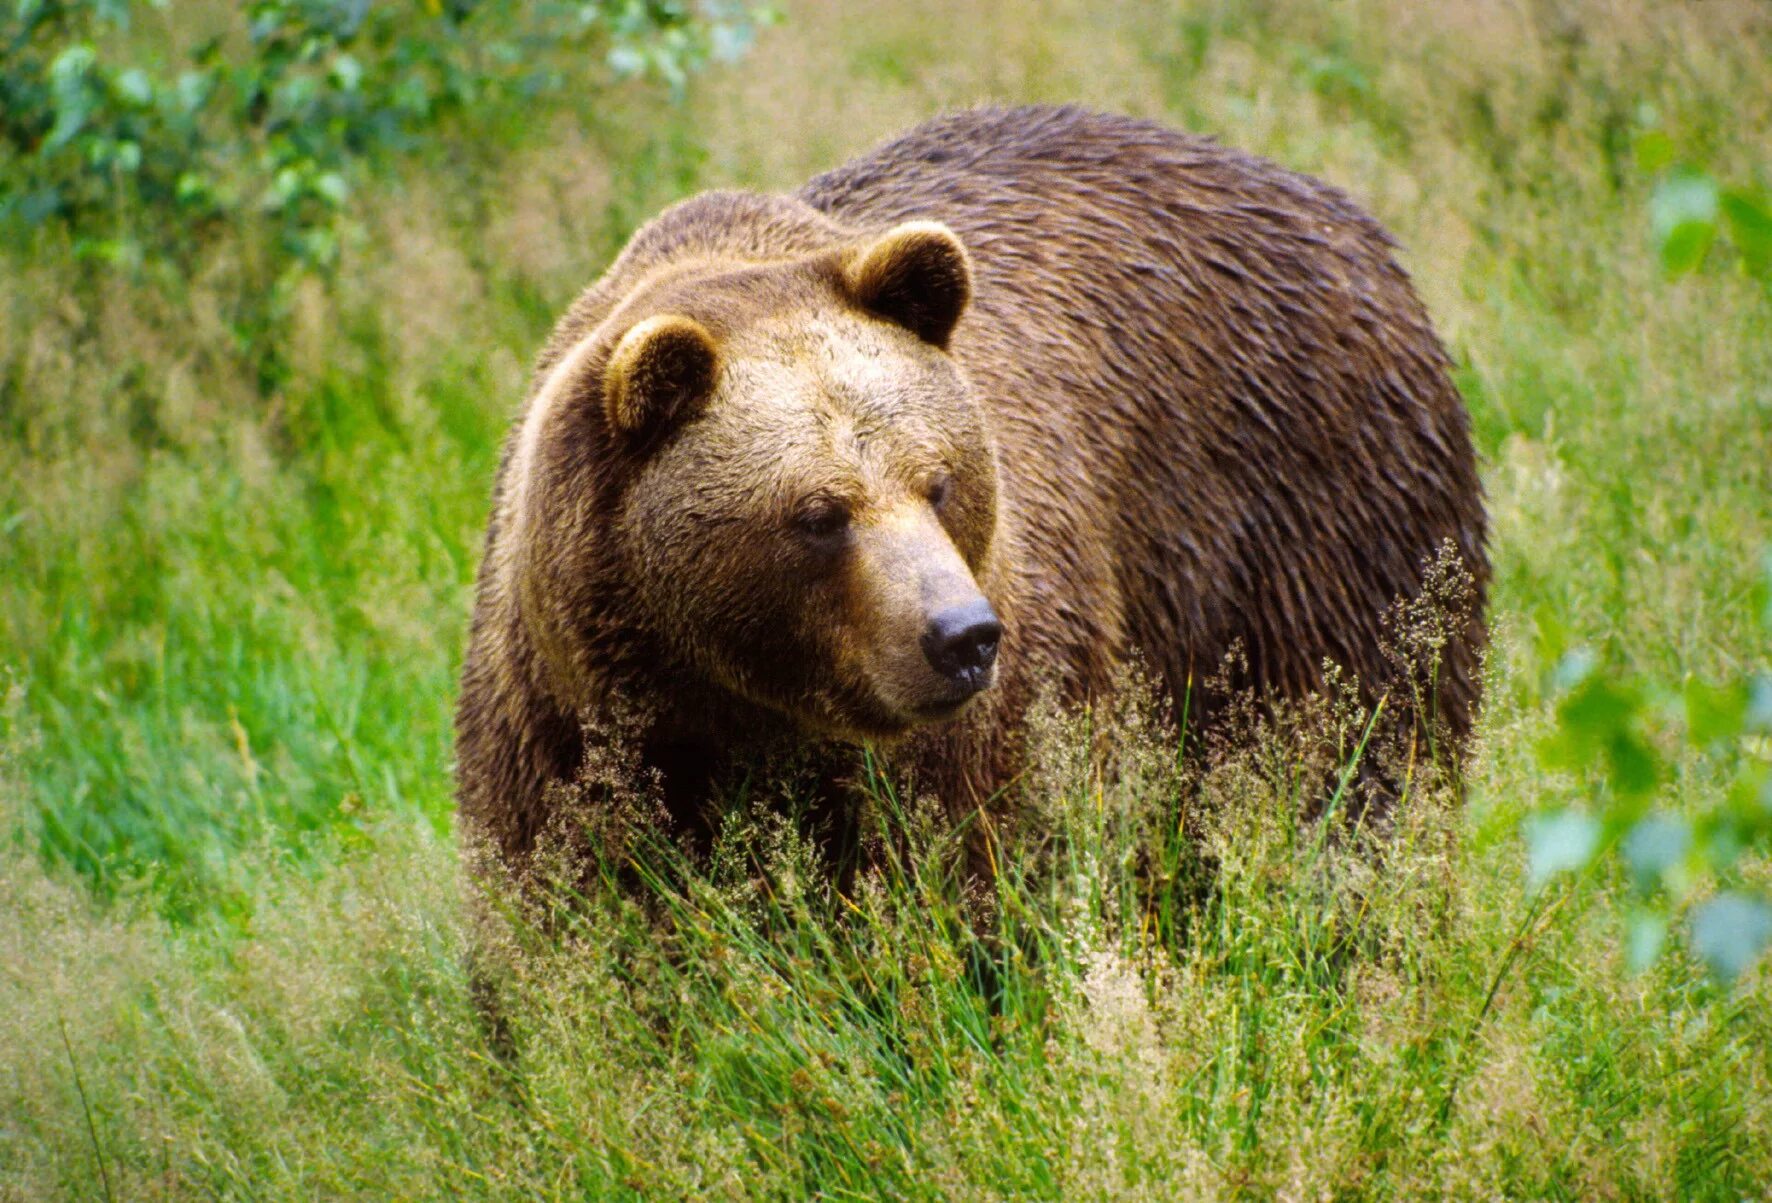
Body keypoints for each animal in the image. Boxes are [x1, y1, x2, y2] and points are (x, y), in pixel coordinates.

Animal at [450, 103, 1488, 875]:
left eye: (939, 481)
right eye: (817, 513)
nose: (960, 636)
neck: (746, 717)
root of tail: (1333, 206)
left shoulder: (992, 723)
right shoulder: (570, 730)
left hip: (1316, 511)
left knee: (1357, 747)